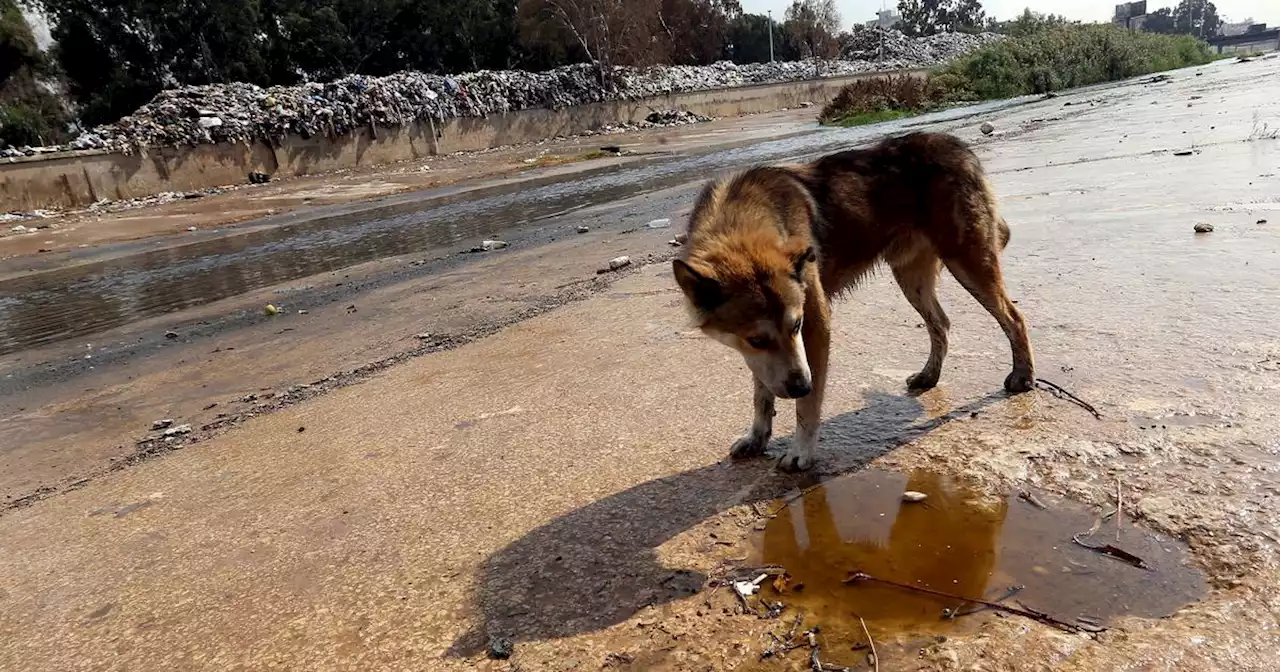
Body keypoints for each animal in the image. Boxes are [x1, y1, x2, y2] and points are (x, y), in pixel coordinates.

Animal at [675, 131, 1034, 471]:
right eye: (757, 340)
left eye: (797, 325)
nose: (801, 385)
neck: (741, 219)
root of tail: (959, 146)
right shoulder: (758, 356)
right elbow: (761, 393)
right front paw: (757, 437)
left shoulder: (816, 324)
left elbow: (806, 407)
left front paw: (801, 452)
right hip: (911, 276)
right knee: (940, 323)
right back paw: (929, 375)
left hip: (967, 260)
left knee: (1013, 317)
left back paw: (1022, 376)